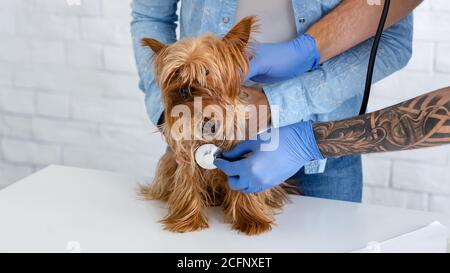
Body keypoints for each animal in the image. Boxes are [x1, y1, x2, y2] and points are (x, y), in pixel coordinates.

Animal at [139, 16, 292, 234]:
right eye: (177, 72)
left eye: (206, 71)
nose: (185, 89)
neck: (205, 115)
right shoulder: (185, 156)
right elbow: (187, 183)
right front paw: (188, 220)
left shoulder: (242, 156)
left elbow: (245, 187)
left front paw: (251, 219)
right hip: (168, 163)